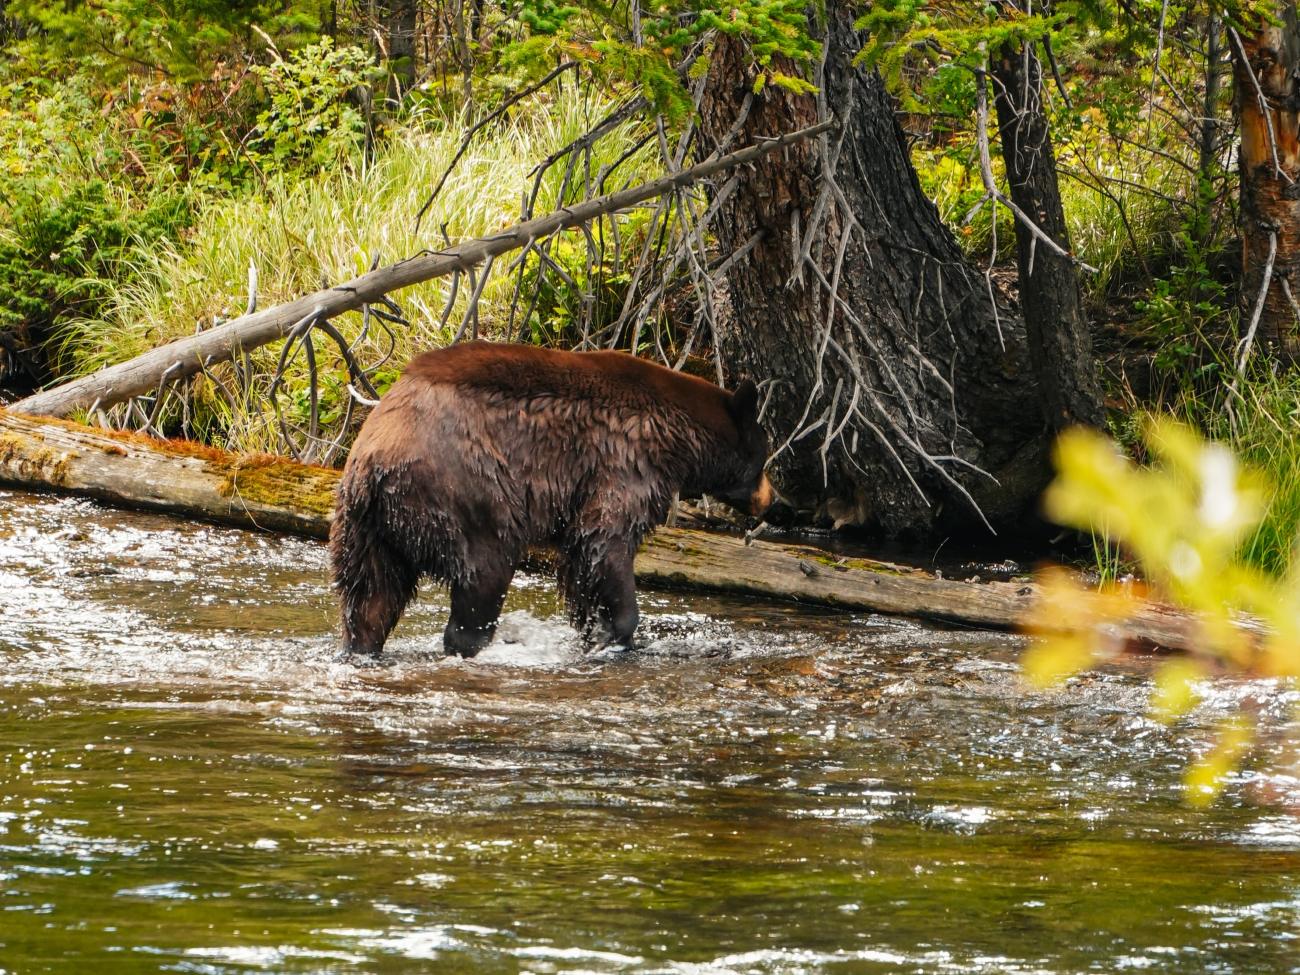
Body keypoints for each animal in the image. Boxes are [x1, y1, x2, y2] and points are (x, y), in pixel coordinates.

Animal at [329, 340, 773, 658]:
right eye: (765, 456)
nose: (773, 499)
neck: (675, 438)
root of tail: (374, 460)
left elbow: (581, 565)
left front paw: (594, 630)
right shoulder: (622, 465)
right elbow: (606, 540)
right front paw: (618, 632)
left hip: (363, 526)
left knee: (368, 598)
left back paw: (361, 646)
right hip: (468, 493)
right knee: (483, 573)